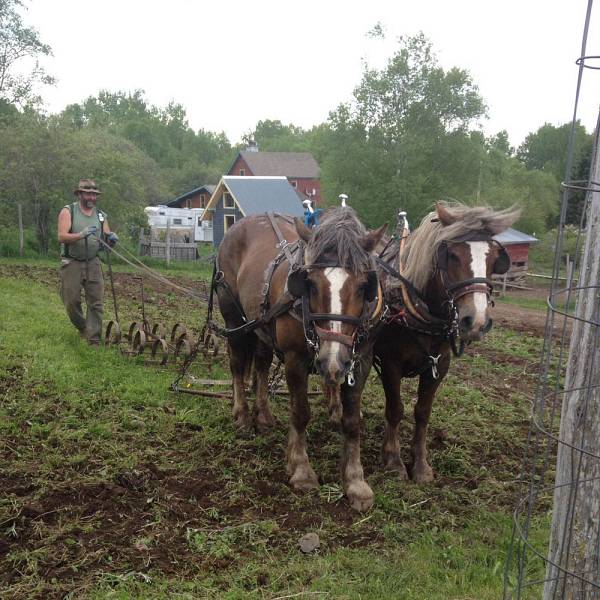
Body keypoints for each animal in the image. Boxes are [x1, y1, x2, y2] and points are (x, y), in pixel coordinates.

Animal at [214, 207, 384, 510]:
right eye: (311, 285)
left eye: (365, 286)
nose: (332, 361)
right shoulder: (295, 359)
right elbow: (301, 412)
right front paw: (301, 469)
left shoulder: (360, 362)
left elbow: (352, 421)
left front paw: (355, 481)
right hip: (233, 318)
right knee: (237, 365)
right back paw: (243, 415)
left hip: (261, 327)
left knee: (261, 365)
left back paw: (264, 415)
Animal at [376, 202, 520, 482]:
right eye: (451, 255)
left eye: (493, 258)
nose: (476, 321)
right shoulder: (390, 365)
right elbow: (395, 409)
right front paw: (394, 461)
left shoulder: (438, 366)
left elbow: (422, 412)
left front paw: (420, 465)